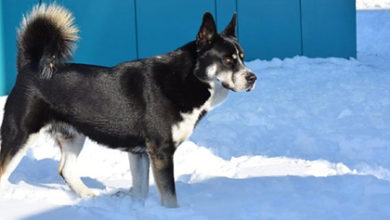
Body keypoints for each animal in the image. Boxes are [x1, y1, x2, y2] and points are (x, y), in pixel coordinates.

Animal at [0, 3, 256, 207]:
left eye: (242, 57)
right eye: (228, 60)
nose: (252, 78)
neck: (187, 78)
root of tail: (29, 65)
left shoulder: (139, 153)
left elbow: (141, 191)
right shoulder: (161, 151)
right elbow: (170, 197)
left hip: (74, 136)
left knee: (66, 170)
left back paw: (89, 196)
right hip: (20, 134)